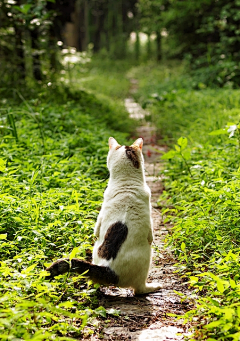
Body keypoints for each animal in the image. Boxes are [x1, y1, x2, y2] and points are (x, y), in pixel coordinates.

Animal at [46, 137, 162, 294]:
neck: (126, 181)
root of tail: (108, 269)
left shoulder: (101, 213)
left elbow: (96, 228)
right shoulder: (149, 216)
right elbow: (151, 234)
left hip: (95, 251)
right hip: (147, 257)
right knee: (139, 289)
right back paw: (153, 287)